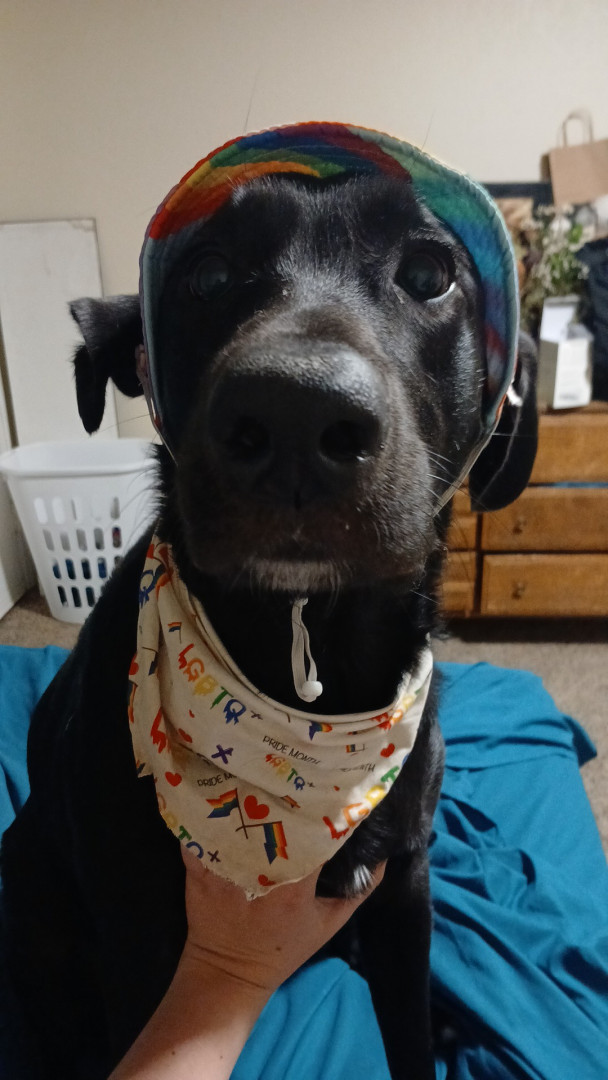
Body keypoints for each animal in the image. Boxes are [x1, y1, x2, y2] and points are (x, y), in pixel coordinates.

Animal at [0, 124, 537, 1080]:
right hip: (27, 874)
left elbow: (406, 1026)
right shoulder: (136, 929)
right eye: (209, 273)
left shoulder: (405, 884)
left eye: (430, 273)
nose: (295, 415)